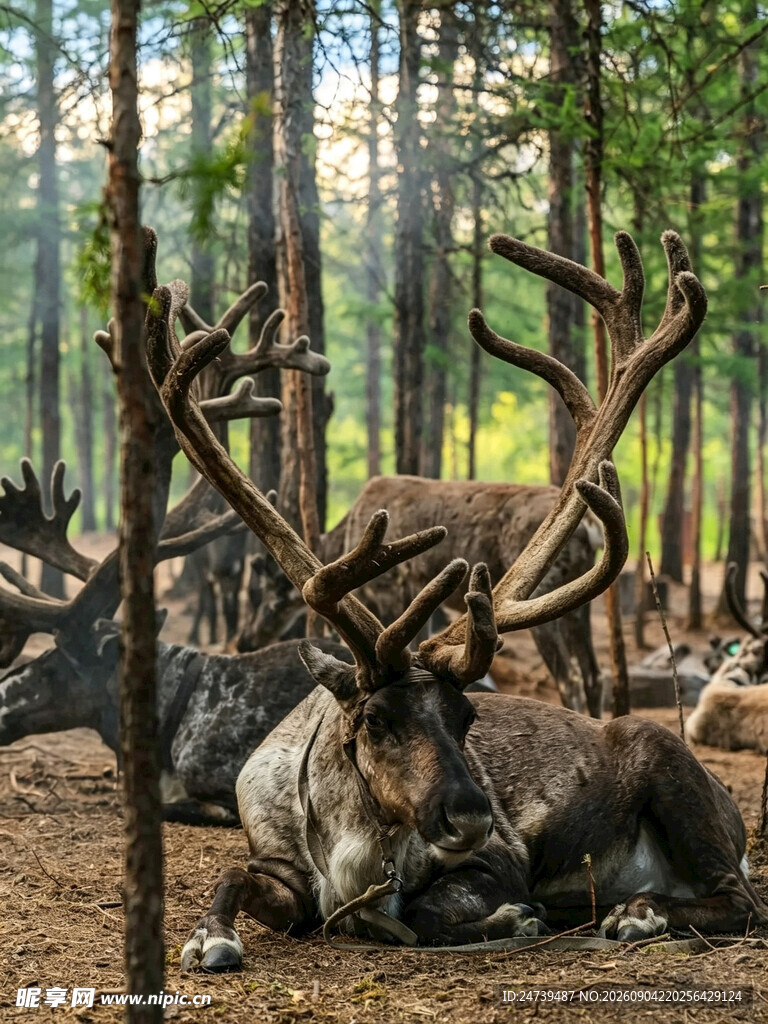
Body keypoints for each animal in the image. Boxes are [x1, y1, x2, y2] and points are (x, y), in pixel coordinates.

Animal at [240, 477, 604, 714]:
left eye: (270, 588)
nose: (246, 639)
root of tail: (590, 529)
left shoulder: (389, 592)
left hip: (541, 594)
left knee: (570, 678)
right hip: (576, 605)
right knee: (592, 674)